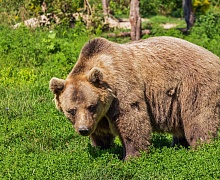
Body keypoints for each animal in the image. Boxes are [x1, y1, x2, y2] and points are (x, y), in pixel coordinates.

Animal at [49, 36, 220, 159]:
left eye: (91, 106)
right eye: (71, 110)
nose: (83, 129)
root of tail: (215, 58)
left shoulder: (122, 89)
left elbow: (132, 120)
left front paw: (131, 156)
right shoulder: (101, 114)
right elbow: (101, 132)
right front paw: (100, 148)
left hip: (195, 86)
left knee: (199, 118)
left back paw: (201, 148)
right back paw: (178, 145)